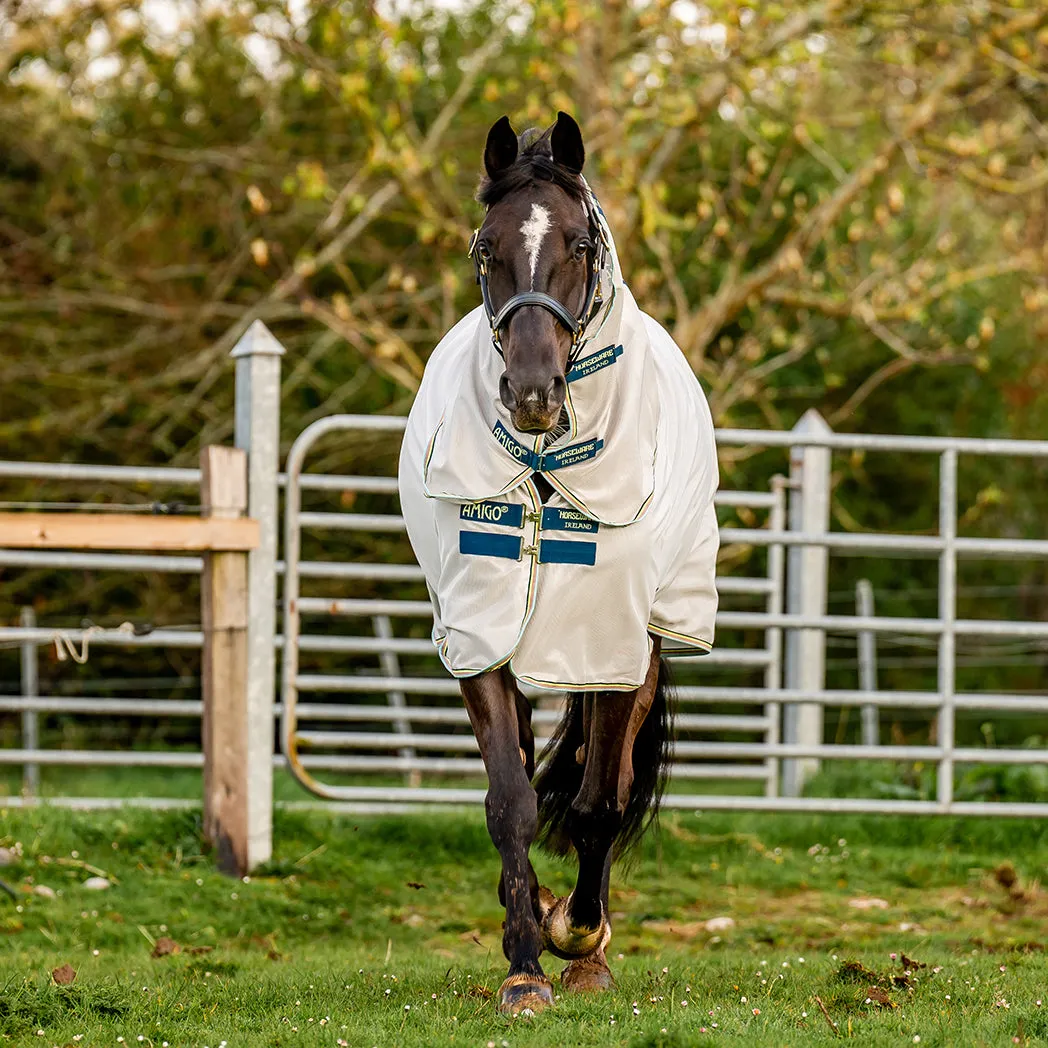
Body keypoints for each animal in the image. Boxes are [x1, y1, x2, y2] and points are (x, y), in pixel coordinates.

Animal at [394, 110, 721, 1010]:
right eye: (484, 246)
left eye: (578, 242)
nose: (533, 393)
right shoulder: (481, 626)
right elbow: (509, 799)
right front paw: (523, 962)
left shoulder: (616, 640)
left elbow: (600, 801)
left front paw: (577, 935)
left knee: (601, 785)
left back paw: (588, 940)